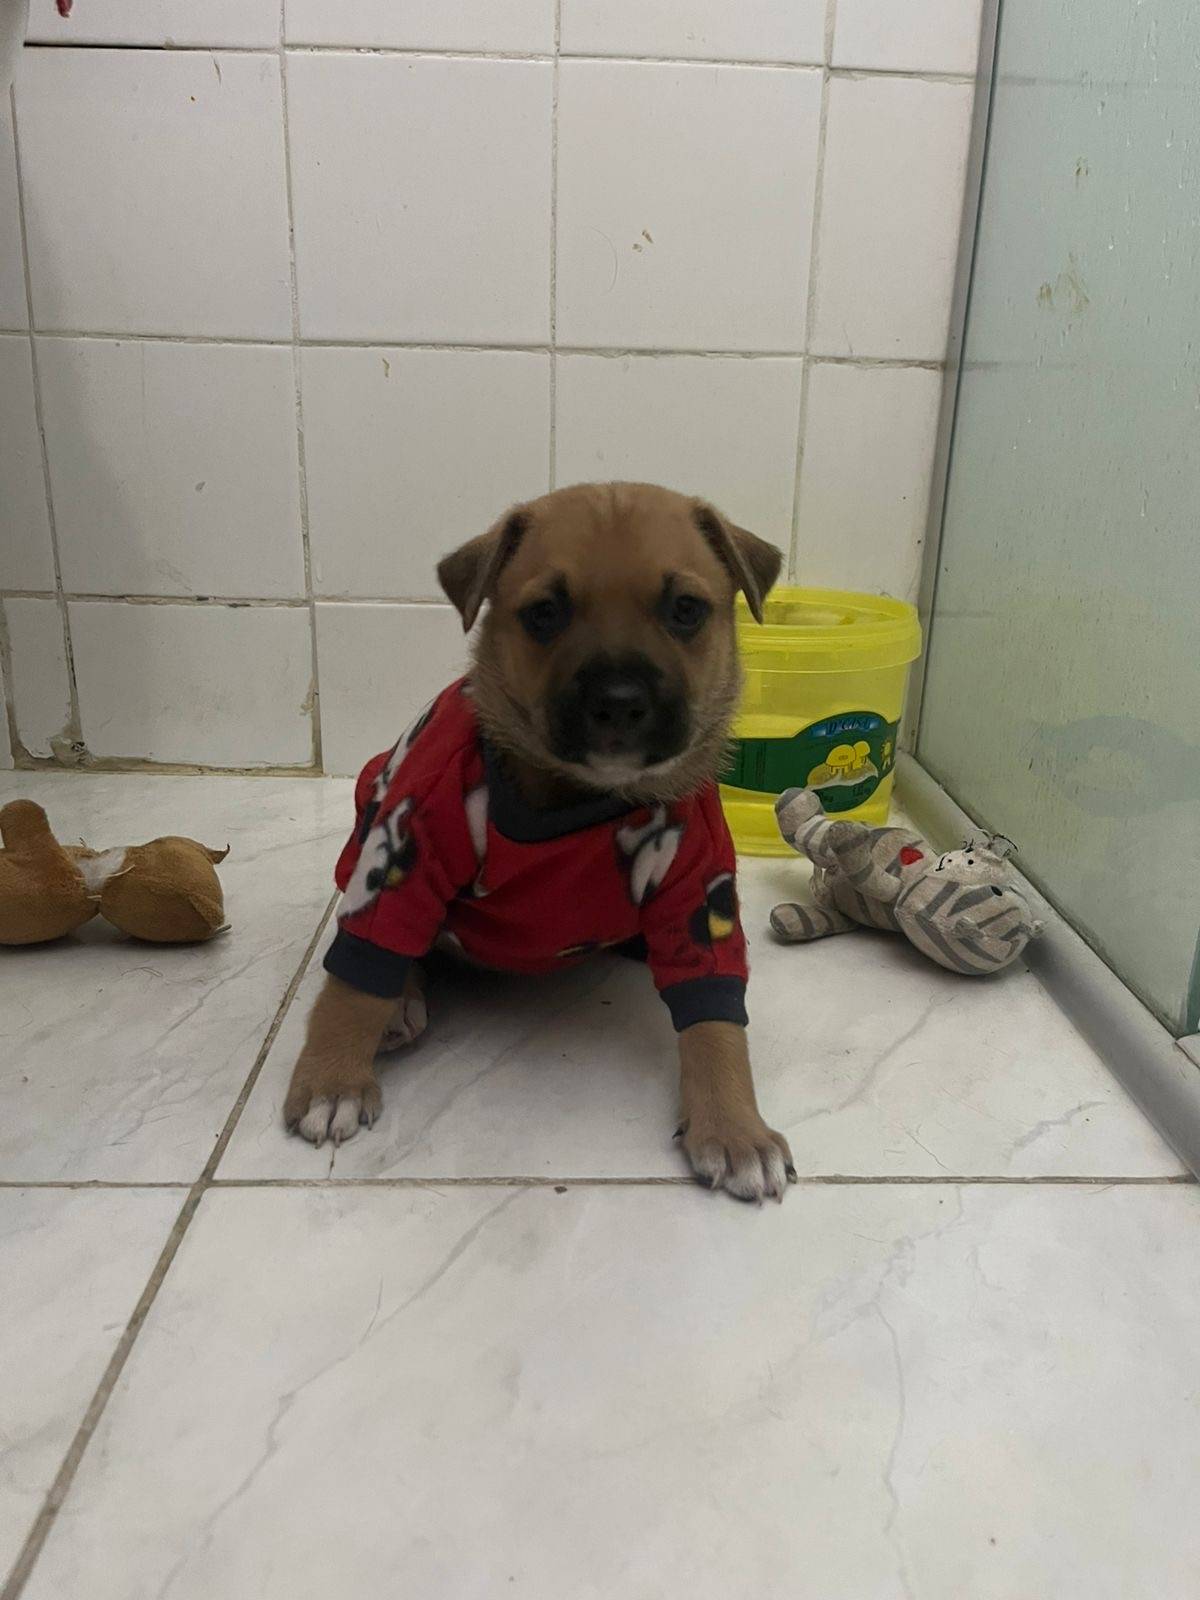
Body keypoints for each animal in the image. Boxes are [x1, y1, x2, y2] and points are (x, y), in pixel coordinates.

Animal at [283, 483, 795, 1203]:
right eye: (546, 613)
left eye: (686, 610)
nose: (619, 701)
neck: (583, 796)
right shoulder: (406, 857)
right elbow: (356, 983)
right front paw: (332, 1082)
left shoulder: (701, 891)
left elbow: (717, 1023)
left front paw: (734, 1128)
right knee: (393, 955)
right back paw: (400, 1005)